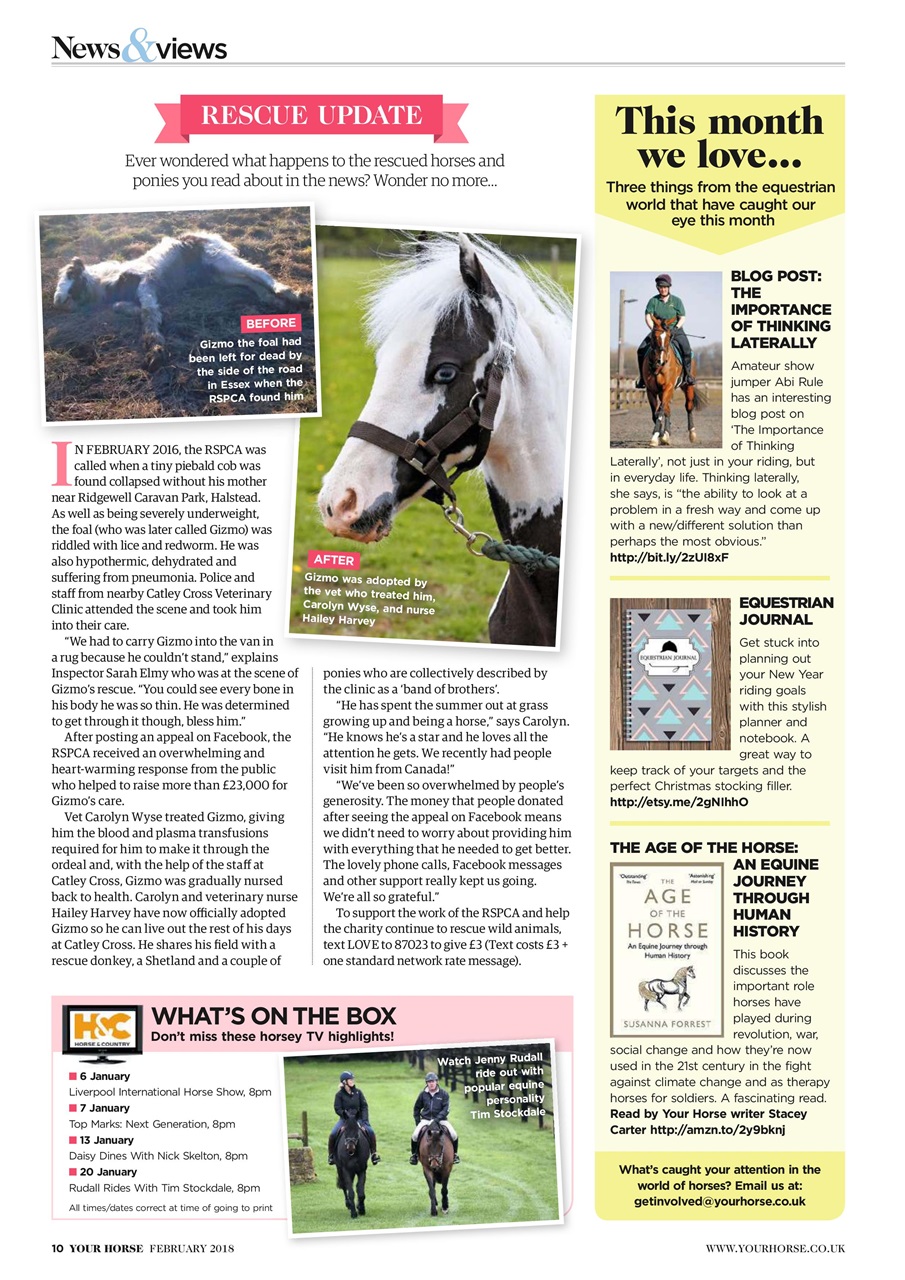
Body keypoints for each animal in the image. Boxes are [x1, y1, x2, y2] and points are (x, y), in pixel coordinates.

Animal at [52, 232, 302, 371]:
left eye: (71, 276)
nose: (58, 301)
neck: (111, 281)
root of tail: (207, 234)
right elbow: (134, 310)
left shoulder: (146, 283)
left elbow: (149, 316)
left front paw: (156, 354)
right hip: (218, 274)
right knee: (249, 281)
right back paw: (276, 302)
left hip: (219, 259)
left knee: (258, 272)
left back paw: (294, 295)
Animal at [641, 315, 697, 447]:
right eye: (654, 336)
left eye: (668, 337)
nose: (660, 360)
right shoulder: (651, 391)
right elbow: (655, 412)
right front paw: (661, 435)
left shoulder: (668, 387)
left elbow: (660, 411)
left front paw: (656, 436)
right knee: (667, 410)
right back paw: (666, 433)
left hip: (687, 386)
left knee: (688, 407)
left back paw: (692, 434)